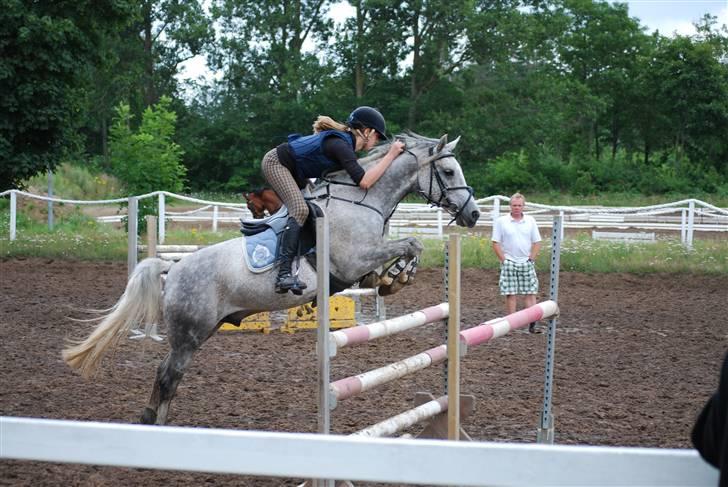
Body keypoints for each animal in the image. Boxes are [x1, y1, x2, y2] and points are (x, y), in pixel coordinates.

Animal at [62, 132, 481, 425]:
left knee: (170, 376)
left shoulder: (361, 264)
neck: (362, 200)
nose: (474, 214)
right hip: (189, 332)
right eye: (447, 172)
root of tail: (174, 268)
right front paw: (398, 276)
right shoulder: (352, 261)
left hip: (202, 330)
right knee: (168, 375)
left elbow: (400, 255)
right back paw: (154, 423)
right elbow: (411, 244)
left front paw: (392, 279)